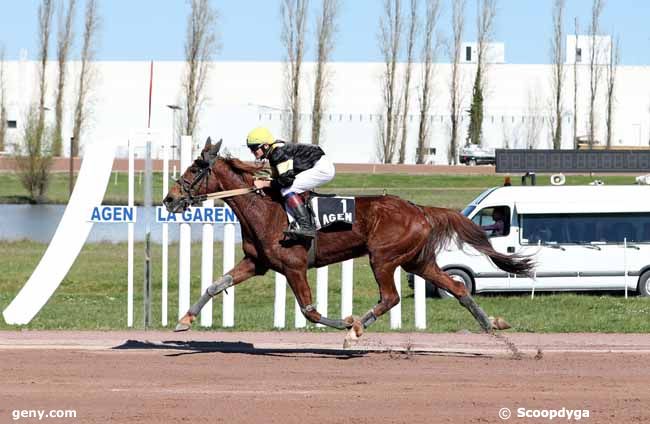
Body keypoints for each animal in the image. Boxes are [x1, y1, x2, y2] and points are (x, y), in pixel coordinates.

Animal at [162, 139, 532, 344]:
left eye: (194, 169)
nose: (169, 199)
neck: (263, 209)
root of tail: (419, 208)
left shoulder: (294, 267)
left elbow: (310, 311)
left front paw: (347, 322)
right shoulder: (257, 263)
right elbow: (215, 285)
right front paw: (184, 321)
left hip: (383, 258)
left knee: (391, 298)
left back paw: (354, 332)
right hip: (419, 261)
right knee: (457, 288)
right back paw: (491, 324)